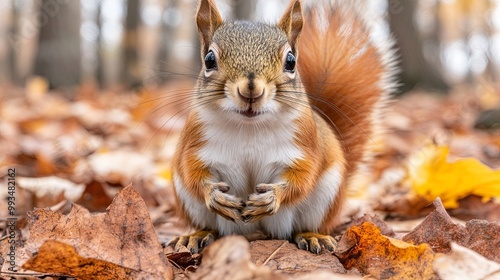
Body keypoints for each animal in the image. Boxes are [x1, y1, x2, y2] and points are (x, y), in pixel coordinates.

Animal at [170, 0, 396, 254]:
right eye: (209, 59)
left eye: (291, 61)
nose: (251, 90)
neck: (249, 127)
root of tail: (257, 233)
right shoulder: (195, 145)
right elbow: (193, 172)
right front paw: (213, 195)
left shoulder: (304, 146)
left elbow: (303, 176)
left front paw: (273, 197)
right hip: (189, 202)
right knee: (210, 226)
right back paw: (196, 235)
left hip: (323, 199)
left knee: (301, 226)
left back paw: (311, 236)